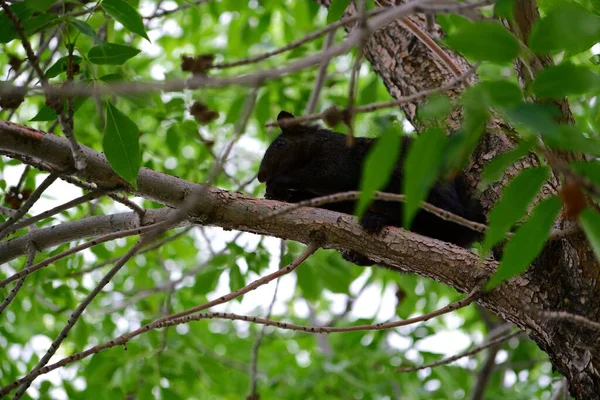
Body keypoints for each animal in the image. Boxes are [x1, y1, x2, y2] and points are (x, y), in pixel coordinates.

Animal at [258, 111, 488, 264]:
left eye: (280, 144)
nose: (261, 176)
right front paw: (277, 196)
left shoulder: (337, 157)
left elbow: (326, 176)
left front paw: (278, 184)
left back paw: (379, 218)